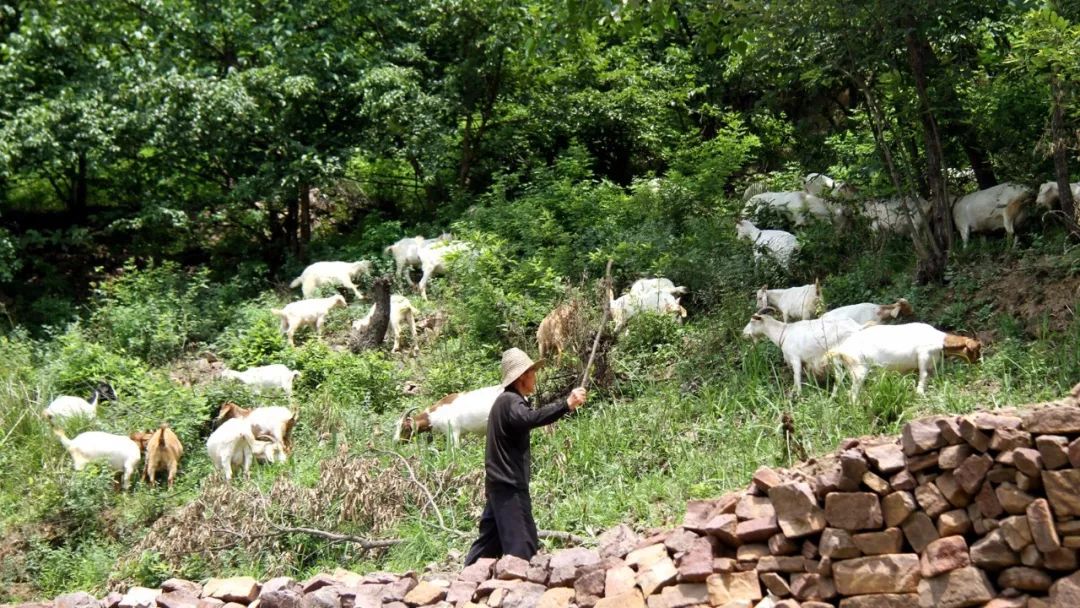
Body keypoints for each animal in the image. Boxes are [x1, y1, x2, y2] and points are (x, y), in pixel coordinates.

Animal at [820, 323, 984, 399]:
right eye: (977, 348)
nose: (978, 363)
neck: (938, 339)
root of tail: (842, 349)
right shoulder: (923, 356)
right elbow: (924, 376)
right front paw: (920, 393)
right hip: (859, 370)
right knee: (852, 394)